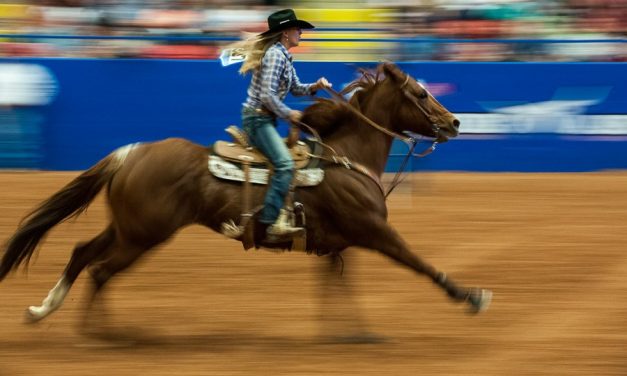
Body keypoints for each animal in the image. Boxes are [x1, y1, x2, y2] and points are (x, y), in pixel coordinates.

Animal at [0, 61, 490, 332]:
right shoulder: (375, 232)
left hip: (129, 226)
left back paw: (44, 310)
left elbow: (336, 286)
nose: (454, 123)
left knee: (83, 253)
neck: (347, 159)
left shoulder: (338, 244)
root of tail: (131, 152)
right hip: (143, 235)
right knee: (100, 269)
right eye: (421, 93)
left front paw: (352, 334)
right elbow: (418, 262)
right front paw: (471, 297)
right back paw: (102, 333)